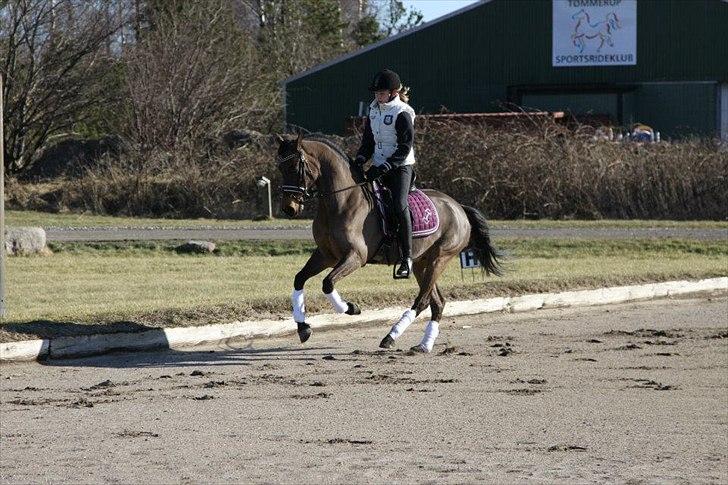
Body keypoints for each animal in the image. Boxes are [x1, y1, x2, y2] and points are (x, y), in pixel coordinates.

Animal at [272, 132, 500, 352]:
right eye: (280, 168)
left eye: (294, 167)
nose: (289, 208)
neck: (341, 201)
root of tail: (458, 207)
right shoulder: (326, 255)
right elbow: (299, 279)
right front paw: (303, 327)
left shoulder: (355, 257)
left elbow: (327, 283)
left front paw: (351, 308)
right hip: (421, 263)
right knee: (437, 303)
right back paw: (423, 345)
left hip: (440, 258)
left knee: (423, 300)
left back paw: (391, 337)